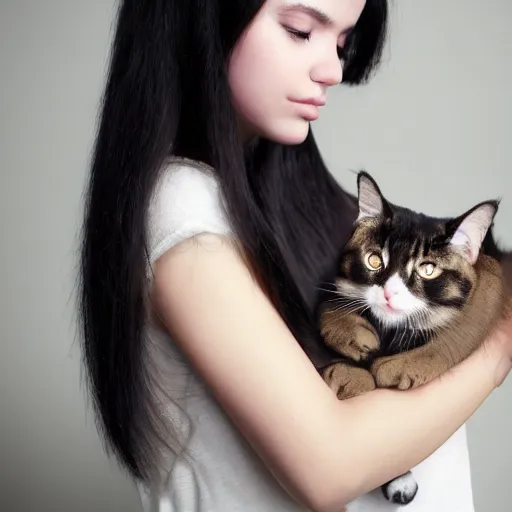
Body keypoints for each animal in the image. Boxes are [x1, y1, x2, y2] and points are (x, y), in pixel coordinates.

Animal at [318, 171, 510, 504]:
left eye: (428, 269)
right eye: (374, 261)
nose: (389, 293)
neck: (391, 332)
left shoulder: (488, 289)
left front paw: (400, 367)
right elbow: (334, 304)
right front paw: (348, 346)